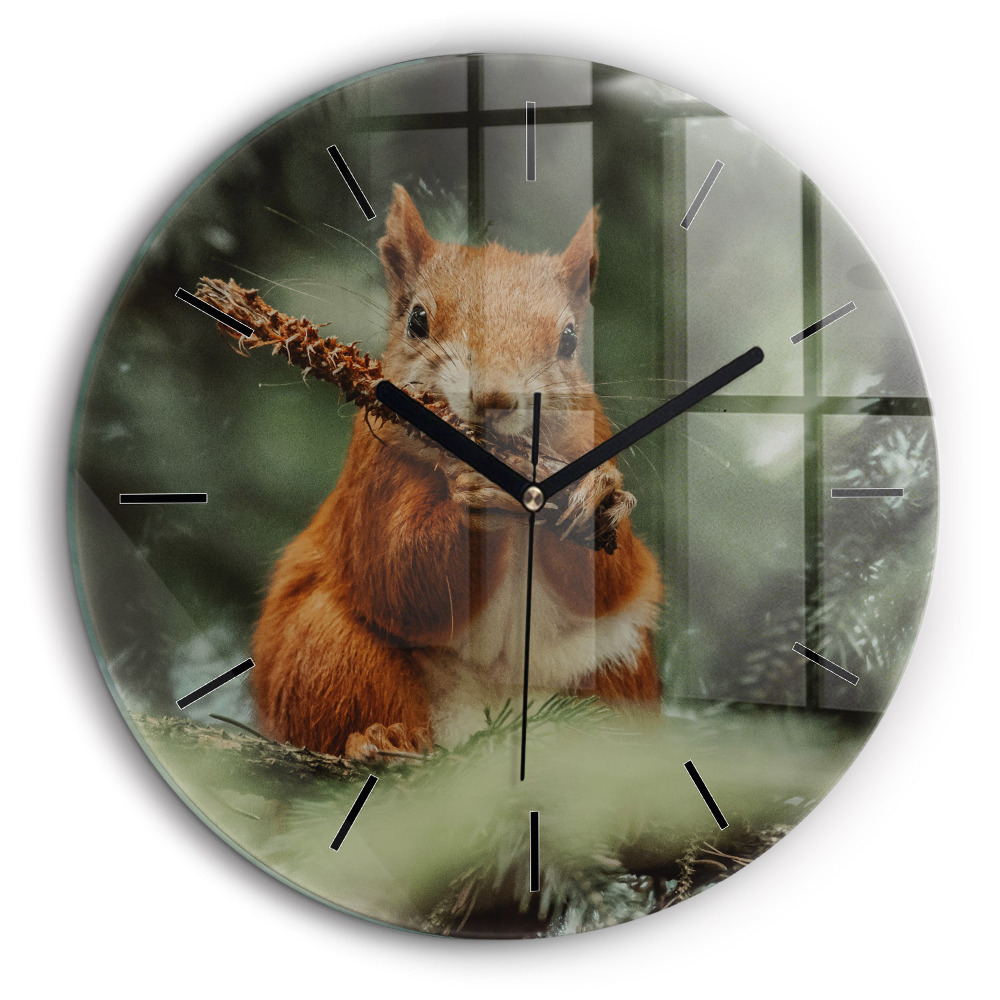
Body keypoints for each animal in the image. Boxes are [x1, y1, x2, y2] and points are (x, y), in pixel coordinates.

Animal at [251, 185, 662, 758]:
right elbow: (399, 570)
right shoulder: (373, 474)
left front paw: (598, 493)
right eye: (417, 320)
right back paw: (383, 737)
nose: (494, 398)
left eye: (569, 340)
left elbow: (611, 581)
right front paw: (480, 502)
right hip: (325, 649)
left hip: (619, 668)